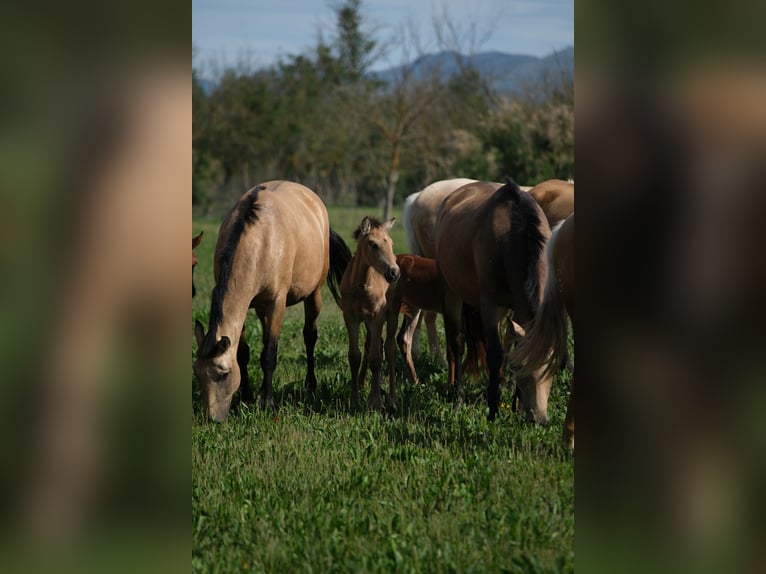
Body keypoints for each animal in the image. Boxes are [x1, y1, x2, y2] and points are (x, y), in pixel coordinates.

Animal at [194, 182, 350, 420]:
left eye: (223, 373)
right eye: (197, 374)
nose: (212, 418)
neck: (259, 243)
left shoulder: (276, 304)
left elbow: (269, 353)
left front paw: (268, 402)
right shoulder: (246, 306)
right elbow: (243, 353)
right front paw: (247, 396)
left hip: (314, 294)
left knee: (310, 336)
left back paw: (310, 385)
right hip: (261, 307)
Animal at [342, 217, 402, 414]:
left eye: (390, 243)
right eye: (373, 244)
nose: (394, 272)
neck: (361, 285)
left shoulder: (377, 316)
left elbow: (376, 358)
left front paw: (374, 402)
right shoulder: (350, 316)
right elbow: (355, 356)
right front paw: (354, 399)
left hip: (391, 315)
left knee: (390, 349)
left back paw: (392, 398)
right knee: (371, 346)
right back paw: (362, 383)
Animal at [436, 180, 556, 424]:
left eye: (552, 370)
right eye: (522, 367)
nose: (539, 419)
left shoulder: (518, 309)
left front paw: (516, 406)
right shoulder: (491, 307)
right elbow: (496, 355)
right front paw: (493, 410)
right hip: (452, 291)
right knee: (457, 342)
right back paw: (458, 397)